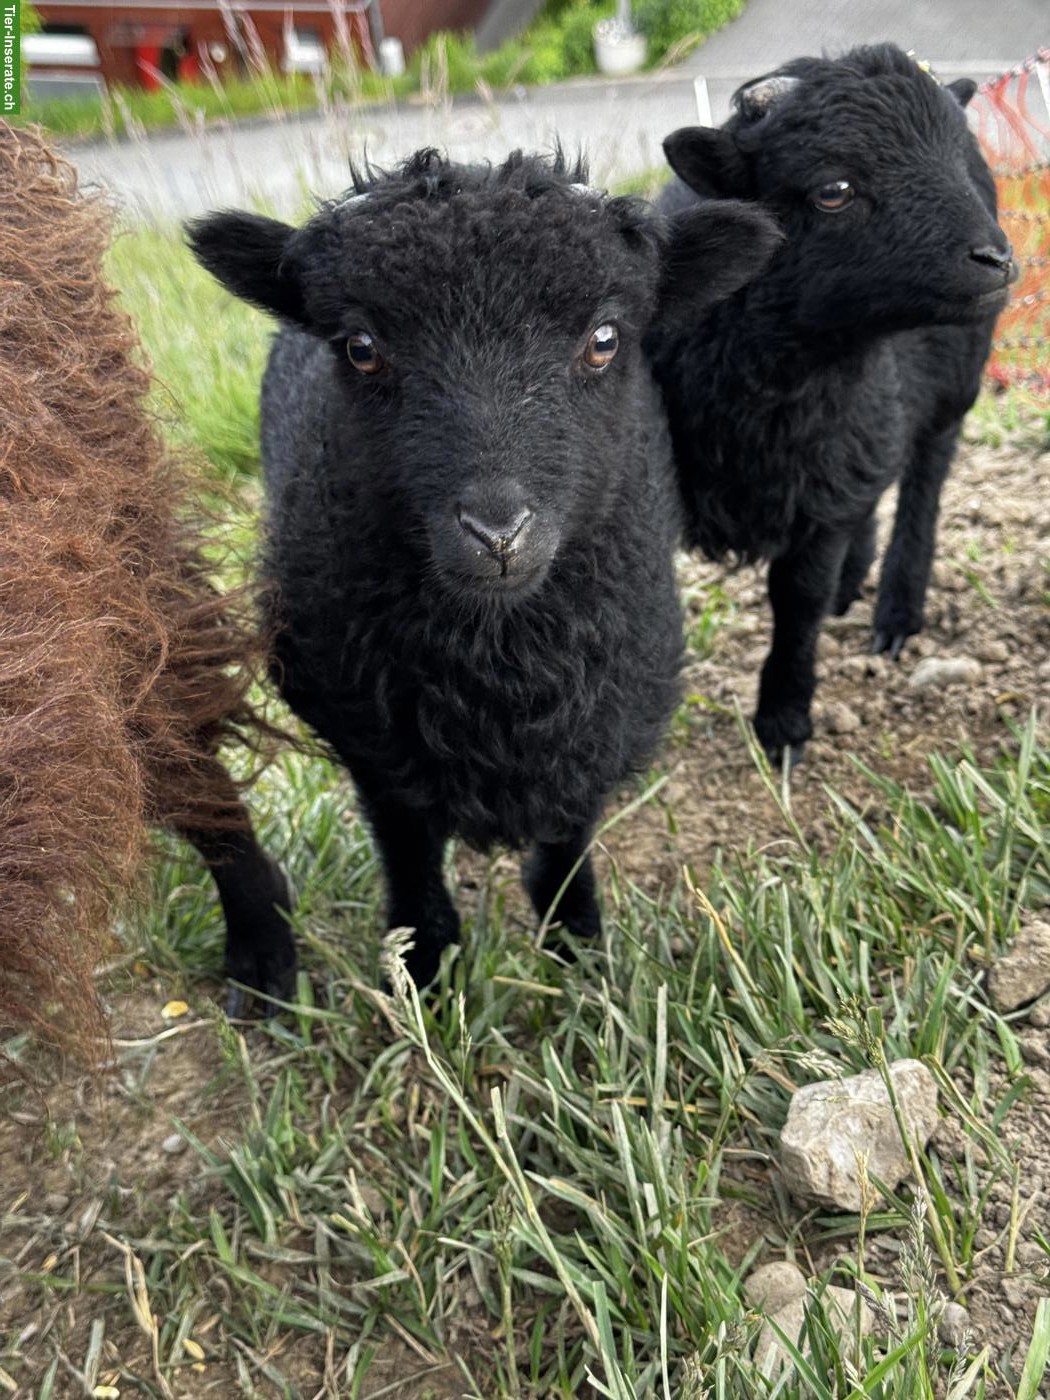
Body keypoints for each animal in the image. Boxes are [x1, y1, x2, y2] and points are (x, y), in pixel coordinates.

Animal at [188, 149, 780, 987]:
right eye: (360, 347)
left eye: (604, 339)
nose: (497, 532)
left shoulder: (596, 721)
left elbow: (564, 851)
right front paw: (426, 973)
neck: (498, 658)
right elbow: (409, 857)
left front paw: (579, 956)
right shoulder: (370, 738)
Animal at [648, 44, 1015, 763]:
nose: (995, 258)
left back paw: (896, 612)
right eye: (834, 190)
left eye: (956, 165)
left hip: (955, 383)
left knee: (924, 481)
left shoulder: (821, 506)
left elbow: (797, 603)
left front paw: (783, 720)